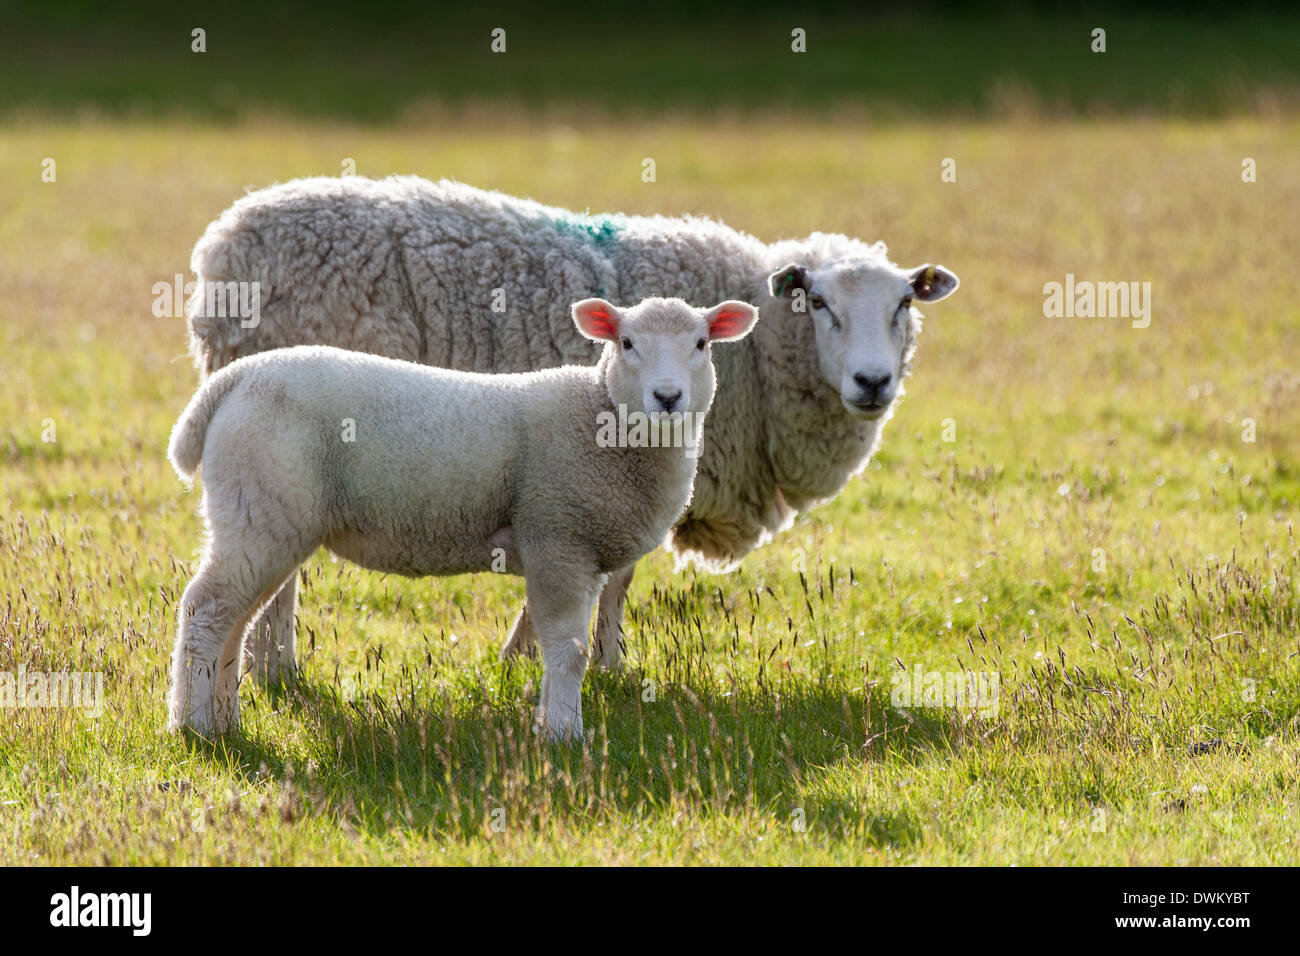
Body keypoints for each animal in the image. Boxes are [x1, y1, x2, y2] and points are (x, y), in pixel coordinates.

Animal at [166, 296, 758, 739]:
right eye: (627, 343)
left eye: (701, 344)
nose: (668, 397)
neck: (602, 420)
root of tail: (232, 382)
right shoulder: (557, 537)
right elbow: (568, 652)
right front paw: (566, 735)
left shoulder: (582, 552)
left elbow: (567, 649)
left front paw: (551, 724)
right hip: (260, 509)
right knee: (206, 610)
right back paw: (192, 726)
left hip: (266, 519)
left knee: (236, 620)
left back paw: (224, 720)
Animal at [186, 176, 960, 678]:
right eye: (819, 303)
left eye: (903, 305)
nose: (873, 383)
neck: (762, 357)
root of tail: (225, 246)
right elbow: (618, 577)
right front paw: (592, 663)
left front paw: (544, 655)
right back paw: (272, 669)